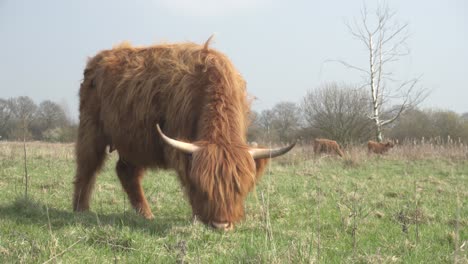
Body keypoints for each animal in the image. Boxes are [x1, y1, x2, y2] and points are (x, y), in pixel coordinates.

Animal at [72, 37, 296, 231]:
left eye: (238, 188)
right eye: (204, 188)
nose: (221, 224)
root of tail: (97, 59)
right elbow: (188, 179)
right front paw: (197, 216)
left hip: (135, 141)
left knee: (126, 172)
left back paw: (146, 215)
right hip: (91, 130)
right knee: (87, 166)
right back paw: (80, 209)